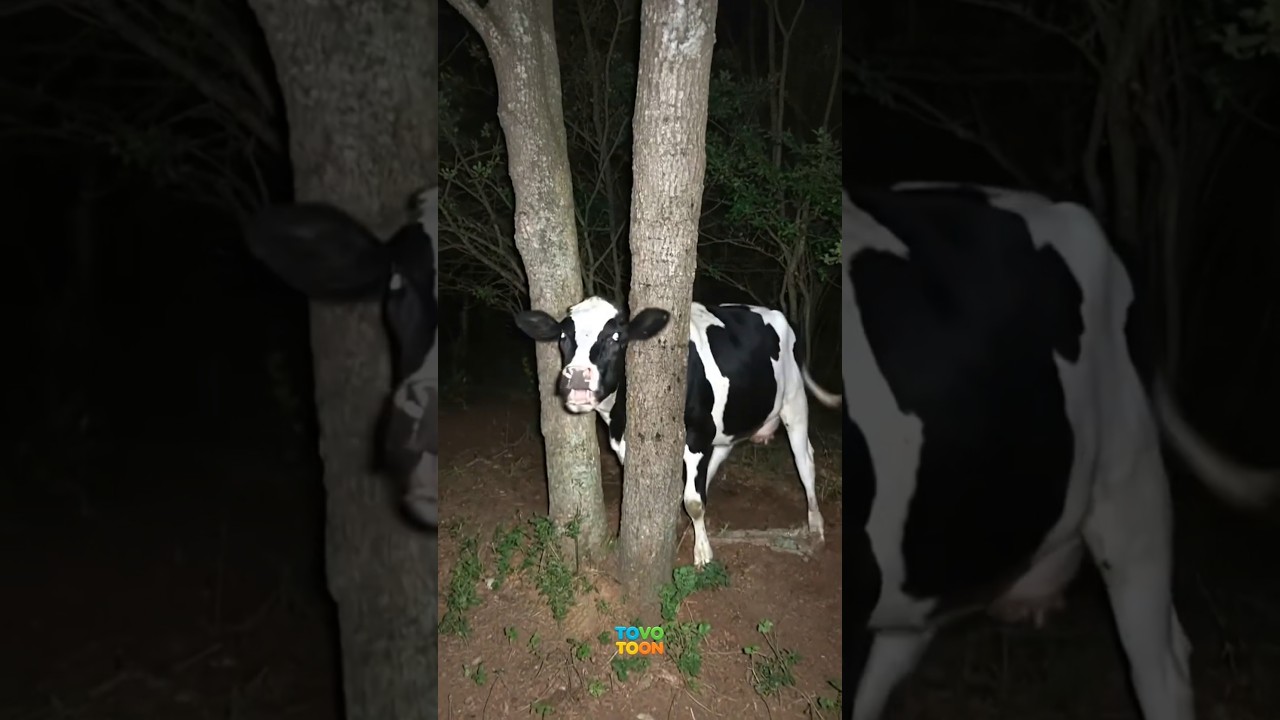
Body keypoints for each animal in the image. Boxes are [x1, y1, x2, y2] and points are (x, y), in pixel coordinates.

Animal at [514, 297, 843, 567]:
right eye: (563, 337)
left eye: (616, 338)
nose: (578, 379)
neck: (619, 417)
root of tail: (776, 313)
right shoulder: (628, 444)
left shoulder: (697, 435)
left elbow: (694, 501)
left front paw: (703, 552)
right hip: (725, 427)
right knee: (718, 459)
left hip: (794, 403)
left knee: (805, 461)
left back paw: (816, 525)